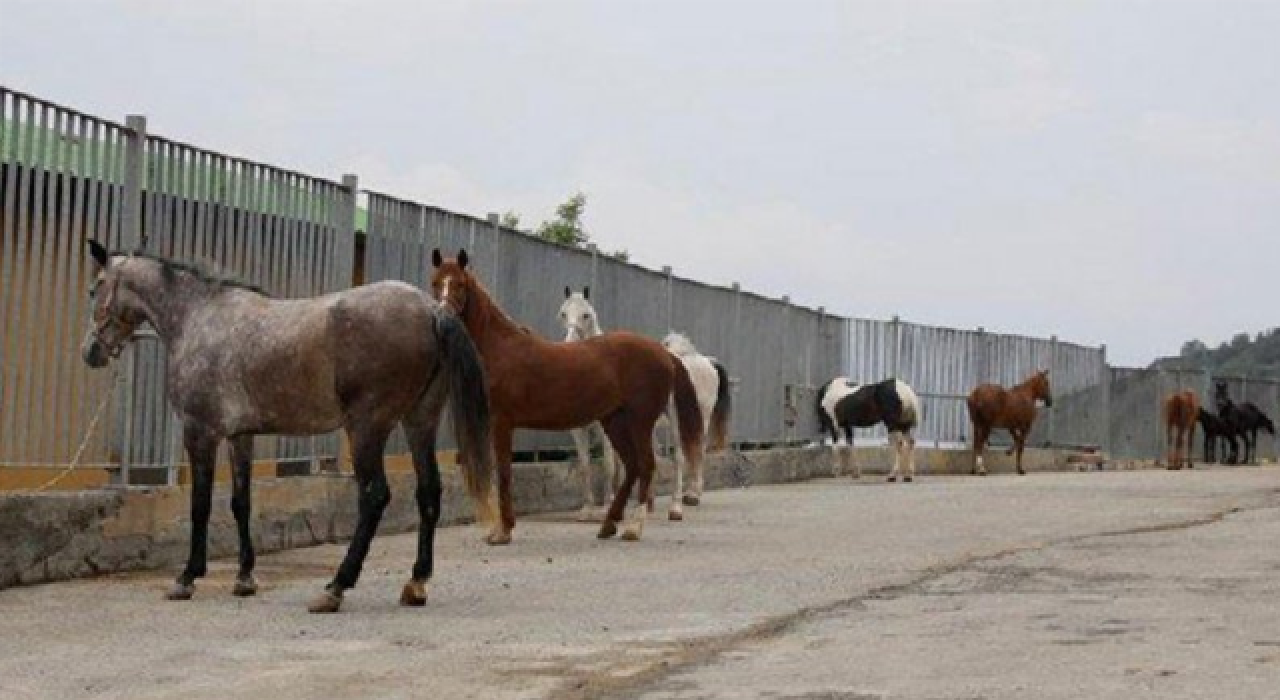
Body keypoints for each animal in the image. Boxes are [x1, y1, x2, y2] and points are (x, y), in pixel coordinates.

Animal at [77, 240, 491, 614]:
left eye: (96, 287)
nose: (90, 352)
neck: (200, 318)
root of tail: (431, 310)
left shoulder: (200, 433)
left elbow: (200, 505)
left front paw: (187, 578)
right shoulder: (239, 436)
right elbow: (240, 502)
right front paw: (245, 578)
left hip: (366, 429)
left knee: (374, 496)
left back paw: (336, 587)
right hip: (419, 423)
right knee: (428, 492)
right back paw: (416, 583)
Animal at [430, 249, 701, 545]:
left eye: (460, 284)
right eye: (435, 283)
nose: (443, 318)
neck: (501, 349)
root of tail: (666, 354)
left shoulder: (501, 423)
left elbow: (503, 472)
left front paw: (503, 531)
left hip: (640, 422)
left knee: (646, 464)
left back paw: (634, 527)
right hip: (615, 422)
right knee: (631, 466)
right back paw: (608, 525)